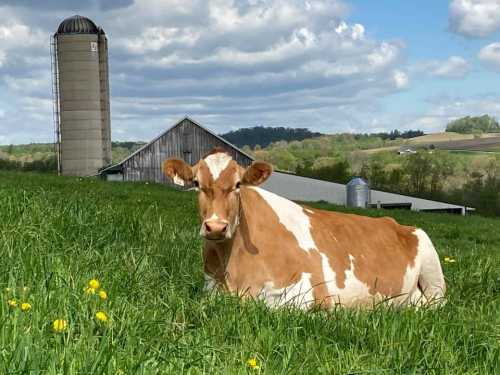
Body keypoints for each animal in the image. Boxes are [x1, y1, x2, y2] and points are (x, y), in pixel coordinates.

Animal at [163, 148, 446, 310]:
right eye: (196, 183)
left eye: (237, 185)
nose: (215, 227)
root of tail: (393, 221)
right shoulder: (210, 289)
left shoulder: (314, 293)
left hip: (433, 270)